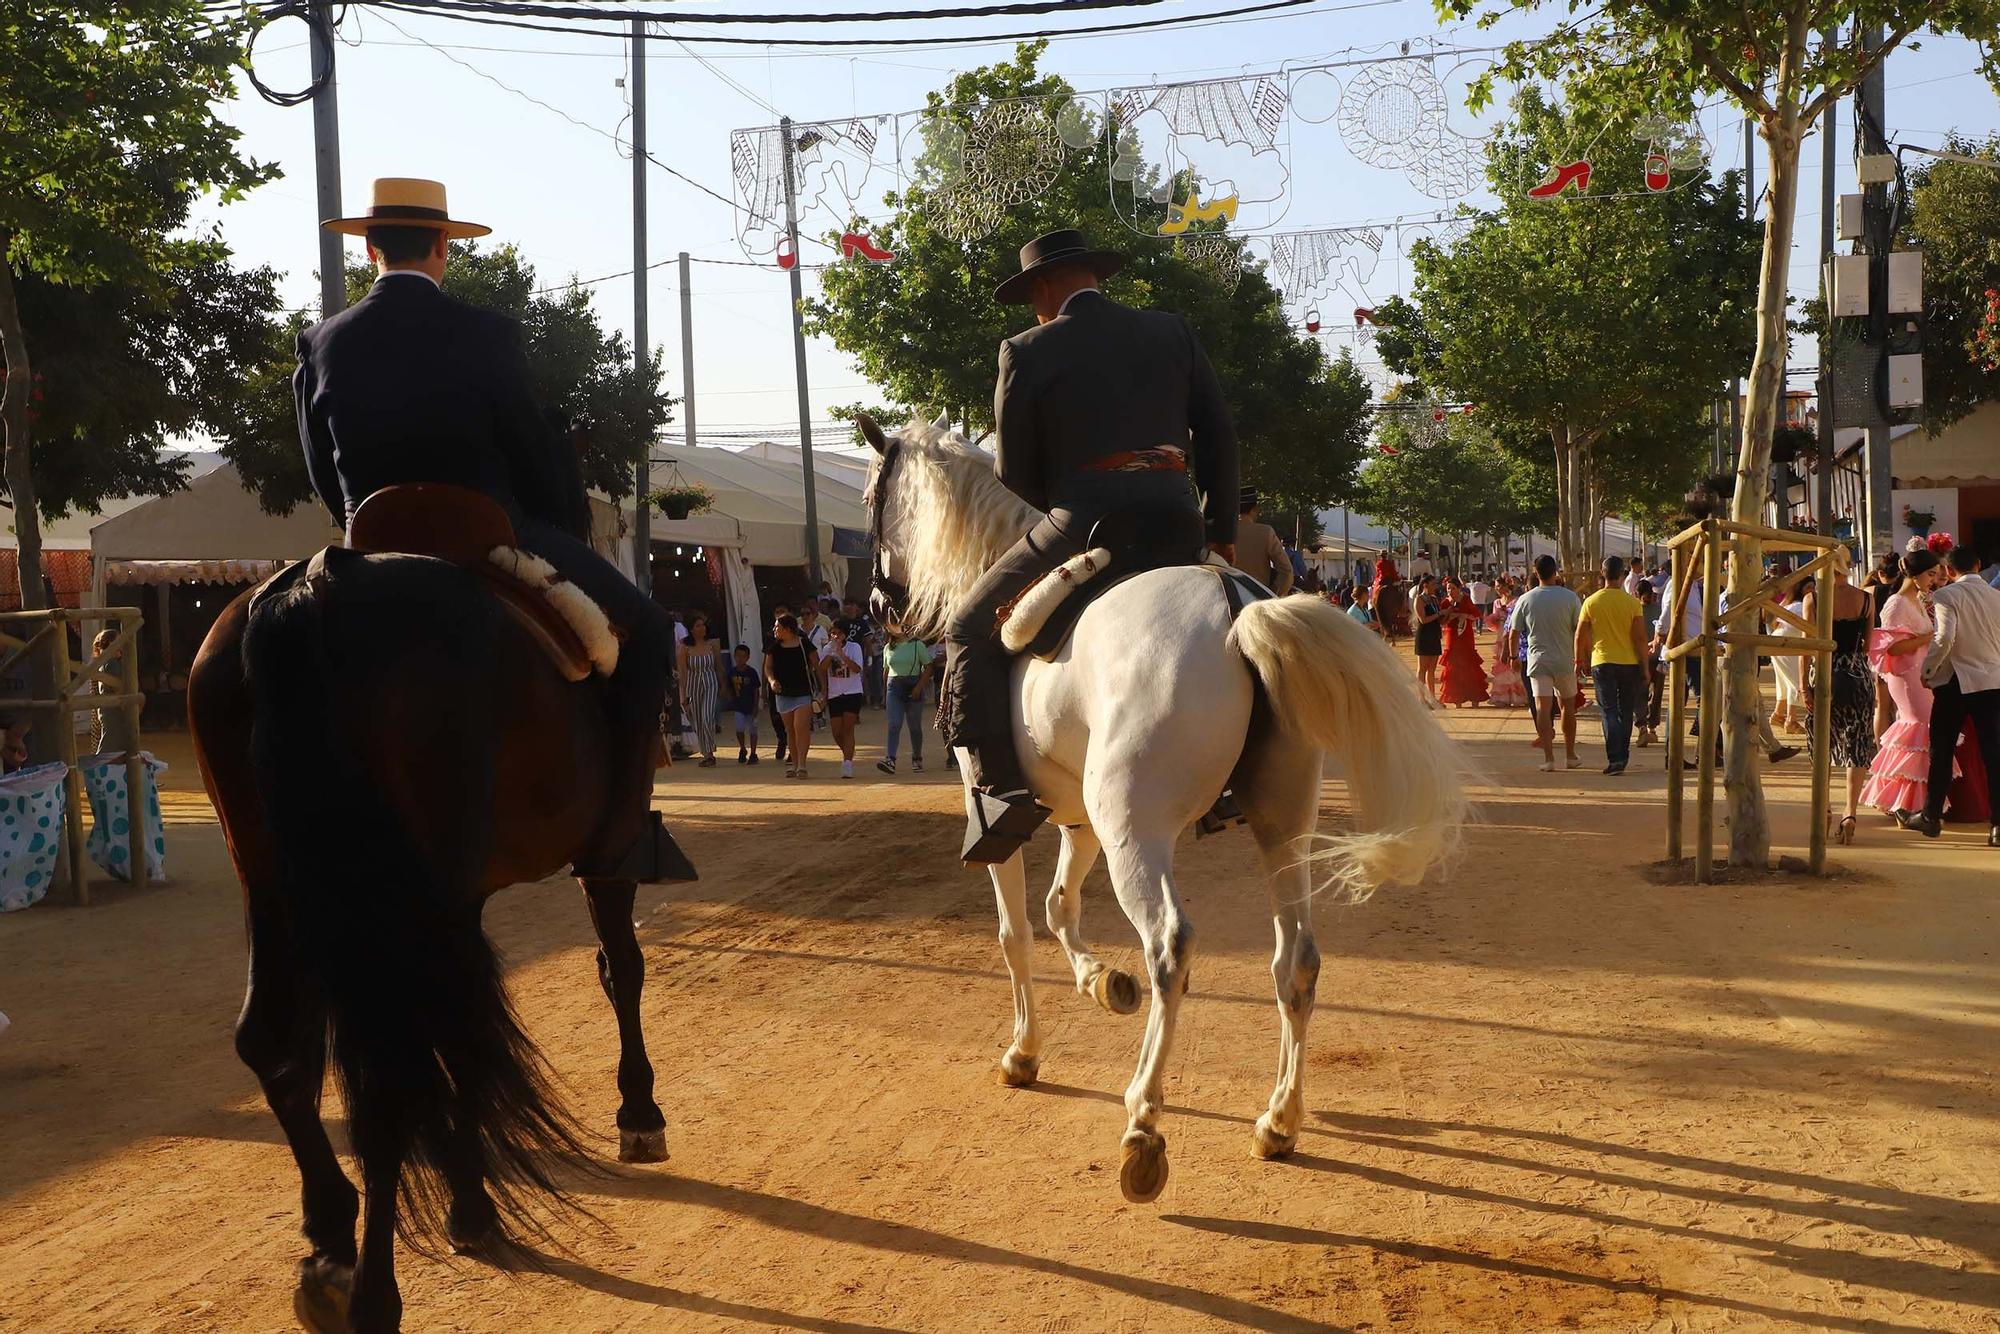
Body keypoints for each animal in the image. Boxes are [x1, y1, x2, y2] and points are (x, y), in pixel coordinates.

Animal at [195, 548, 680, 1328]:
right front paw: (638, 1113)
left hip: (271, 881)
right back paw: (373, 1293)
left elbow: (459, 1041)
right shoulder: (599, 856)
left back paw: (332, 1241)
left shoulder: (444, 910)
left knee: (277, 1044)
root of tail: (320, 580)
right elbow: (619, 967)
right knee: (391, 1068)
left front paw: (469, 1202)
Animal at [860, 412, 1472, 1208]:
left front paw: (1024, 1051)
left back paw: (1145, 1120)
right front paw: (1102, 984)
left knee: (1171, 950)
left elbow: (1016, 933)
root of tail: (1237, 606)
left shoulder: (1000, 816)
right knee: (1296, 962)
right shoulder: (1079, 818)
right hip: (1277, 827)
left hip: (1138, 833)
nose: (878, 609)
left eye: (871, 496)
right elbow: (1059, 906)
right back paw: (1279, 1119)